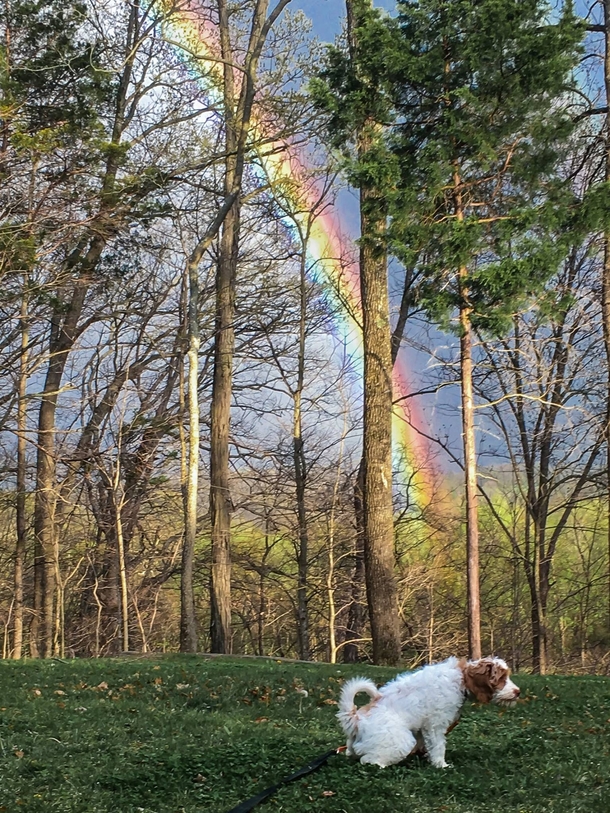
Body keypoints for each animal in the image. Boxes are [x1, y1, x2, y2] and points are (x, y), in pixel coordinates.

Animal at [338, 652, 516, 768]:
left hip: (353, 745)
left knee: (352, 753)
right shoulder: (435, 725)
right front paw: (441, 764)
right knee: (368, 760)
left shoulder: (423, 727)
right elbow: (438, 746)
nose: (518, 692)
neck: (460, 678)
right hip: (401, 742)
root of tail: (356, 720)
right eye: (501, 678)